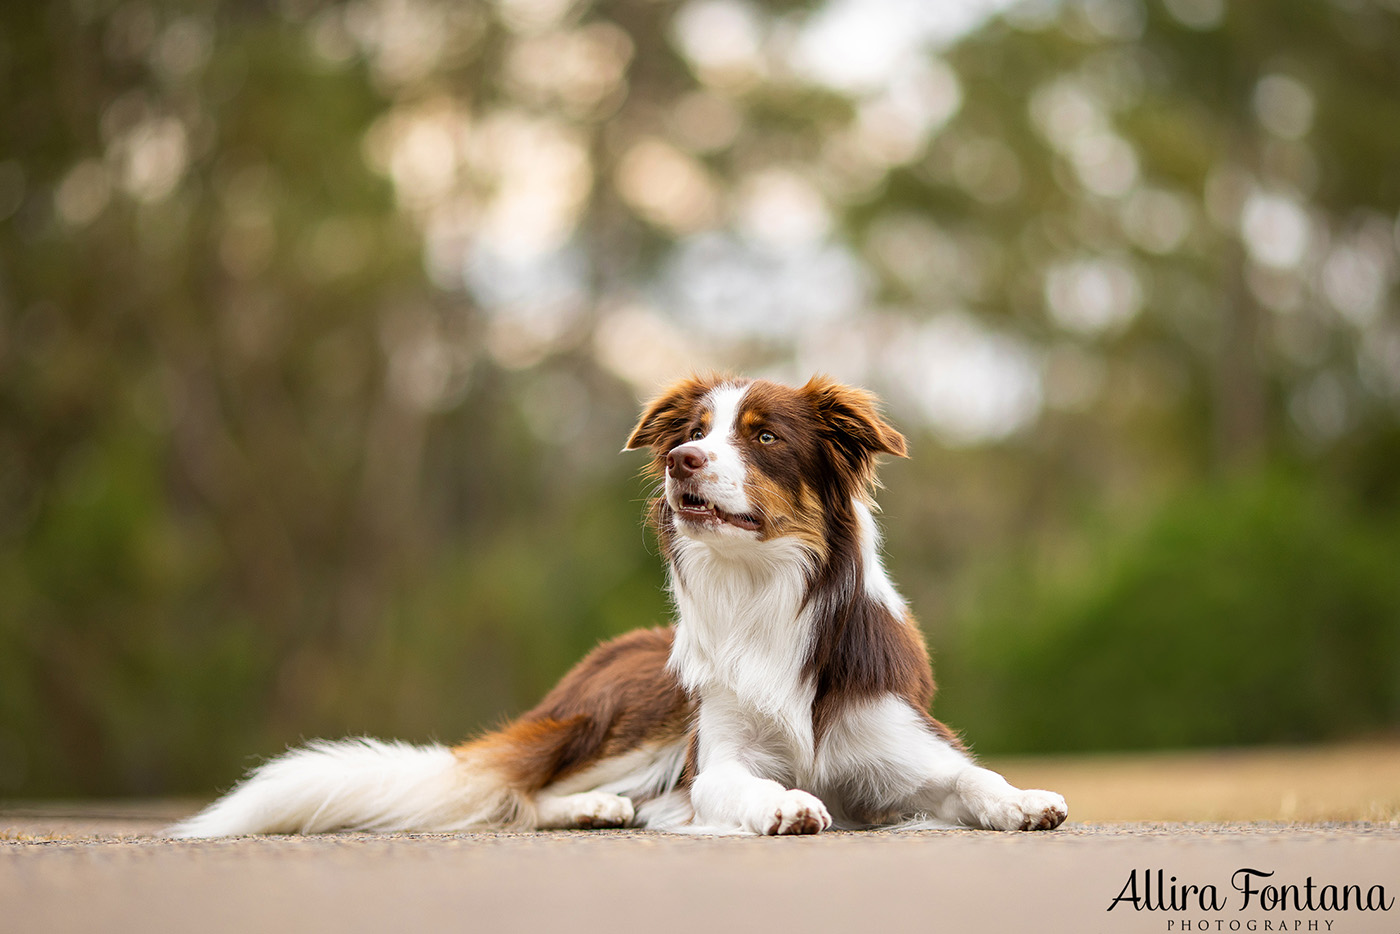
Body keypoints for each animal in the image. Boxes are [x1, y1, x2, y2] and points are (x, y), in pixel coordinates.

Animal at [177, 375, 1069, 834]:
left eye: (764, 436)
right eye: (696, 430)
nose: (681, 460)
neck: (760, 593)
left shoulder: (901, 745)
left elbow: (973, 778)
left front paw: (1024, 800)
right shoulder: (717, 754)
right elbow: (738, 786)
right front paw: (784, 803)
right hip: (636, 720)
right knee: (521, 796)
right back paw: (595, 807)